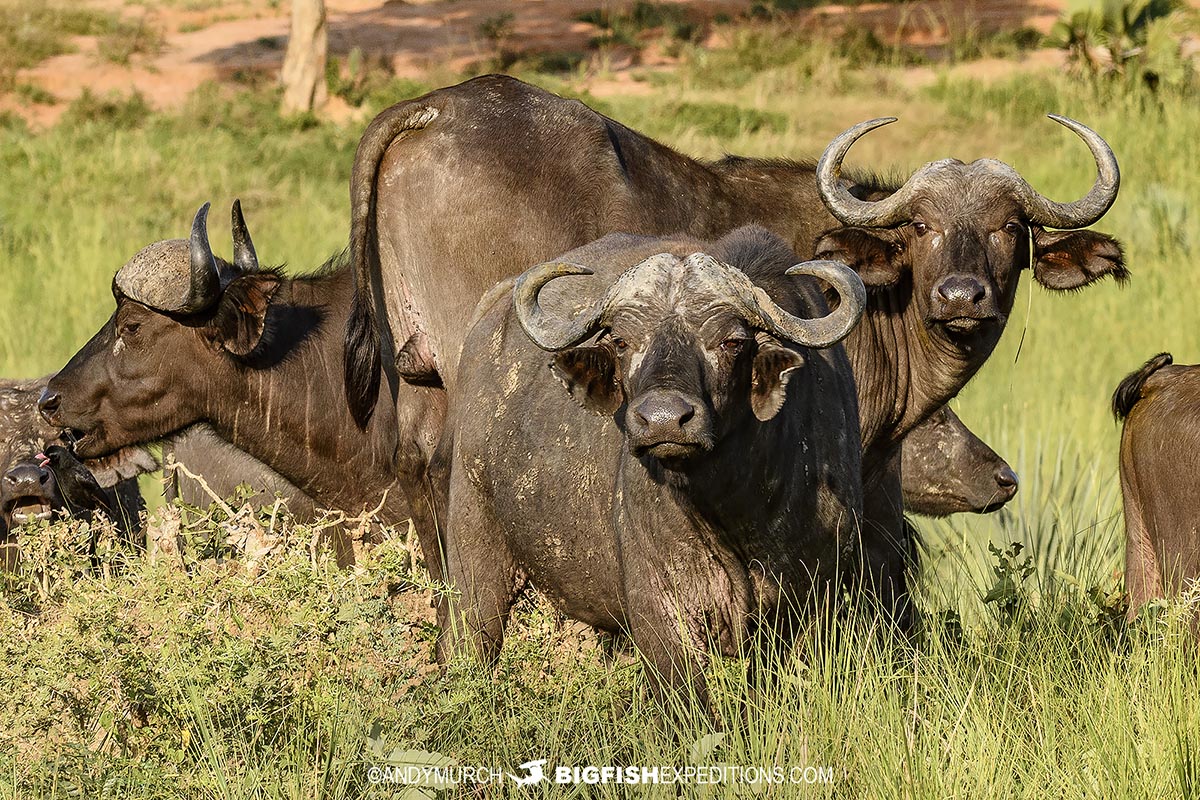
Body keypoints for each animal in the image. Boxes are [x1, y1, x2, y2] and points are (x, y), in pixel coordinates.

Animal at [441, 226, 866, 703]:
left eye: (731, 341)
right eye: (622, 341)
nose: (663, 419)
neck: (733, 504)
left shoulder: (817, 597)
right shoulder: (662, 606)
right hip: (473, 558)